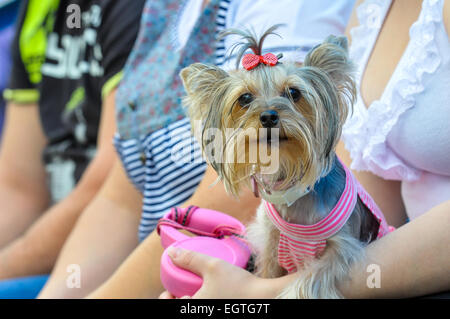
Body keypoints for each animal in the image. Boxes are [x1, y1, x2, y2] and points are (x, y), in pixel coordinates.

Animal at [181, 25, 392, 300]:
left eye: (294, 93)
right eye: (244, 98)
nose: (269, 116)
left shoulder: (344, 244)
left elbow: (314, 275)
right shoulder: (272, 241)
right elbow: (268, 273)